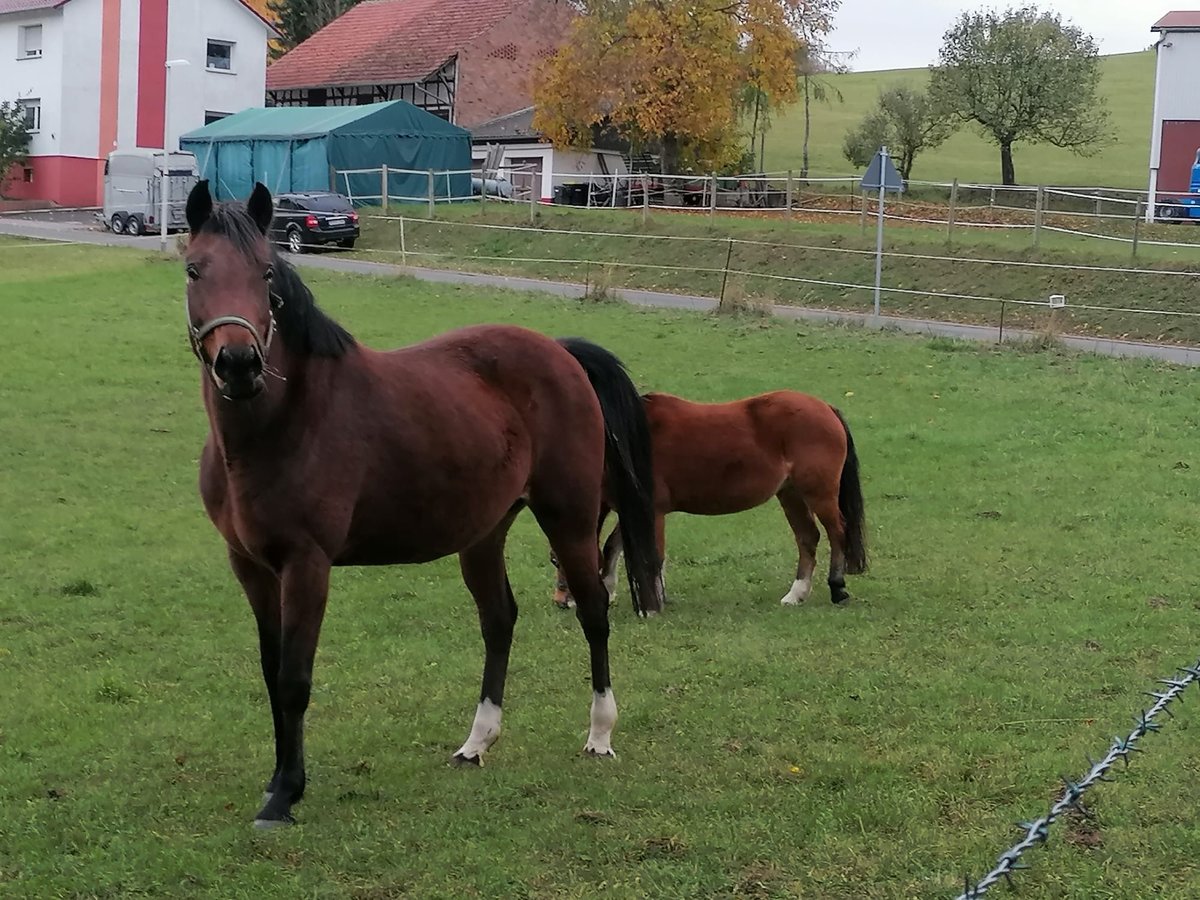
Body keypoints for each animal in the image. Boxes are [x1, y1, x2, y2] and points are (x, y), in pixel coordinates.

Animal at [182, 183, 662, 830]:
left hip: (570, 517)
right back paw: (476, 743)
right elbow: (270, 670)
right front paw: (277, 781)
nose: (239, 365)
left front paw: (286, 795)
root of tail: (560, 353)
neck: (284, 424)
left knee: (593, 610)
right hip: (484, 534)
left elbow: (294, 678)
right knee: (499, 620)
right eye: (193, 269)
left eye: (266, 274)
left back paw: (600, 733)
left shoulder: (306, 566)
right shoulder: (252, 568)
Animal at [552, 393, 864, 614]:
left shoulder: (652, 512)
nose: (562, 601)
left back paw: (838, 589)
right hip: (790, 494)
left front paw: (654, 603)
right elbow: (613, 546)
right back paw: (796, 594)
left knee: (838, 533)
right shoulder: (634, 512)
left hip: (819, 493)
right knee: (808, 538)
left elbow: (653, 555)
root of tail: (825, 408)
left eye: (557, 559)